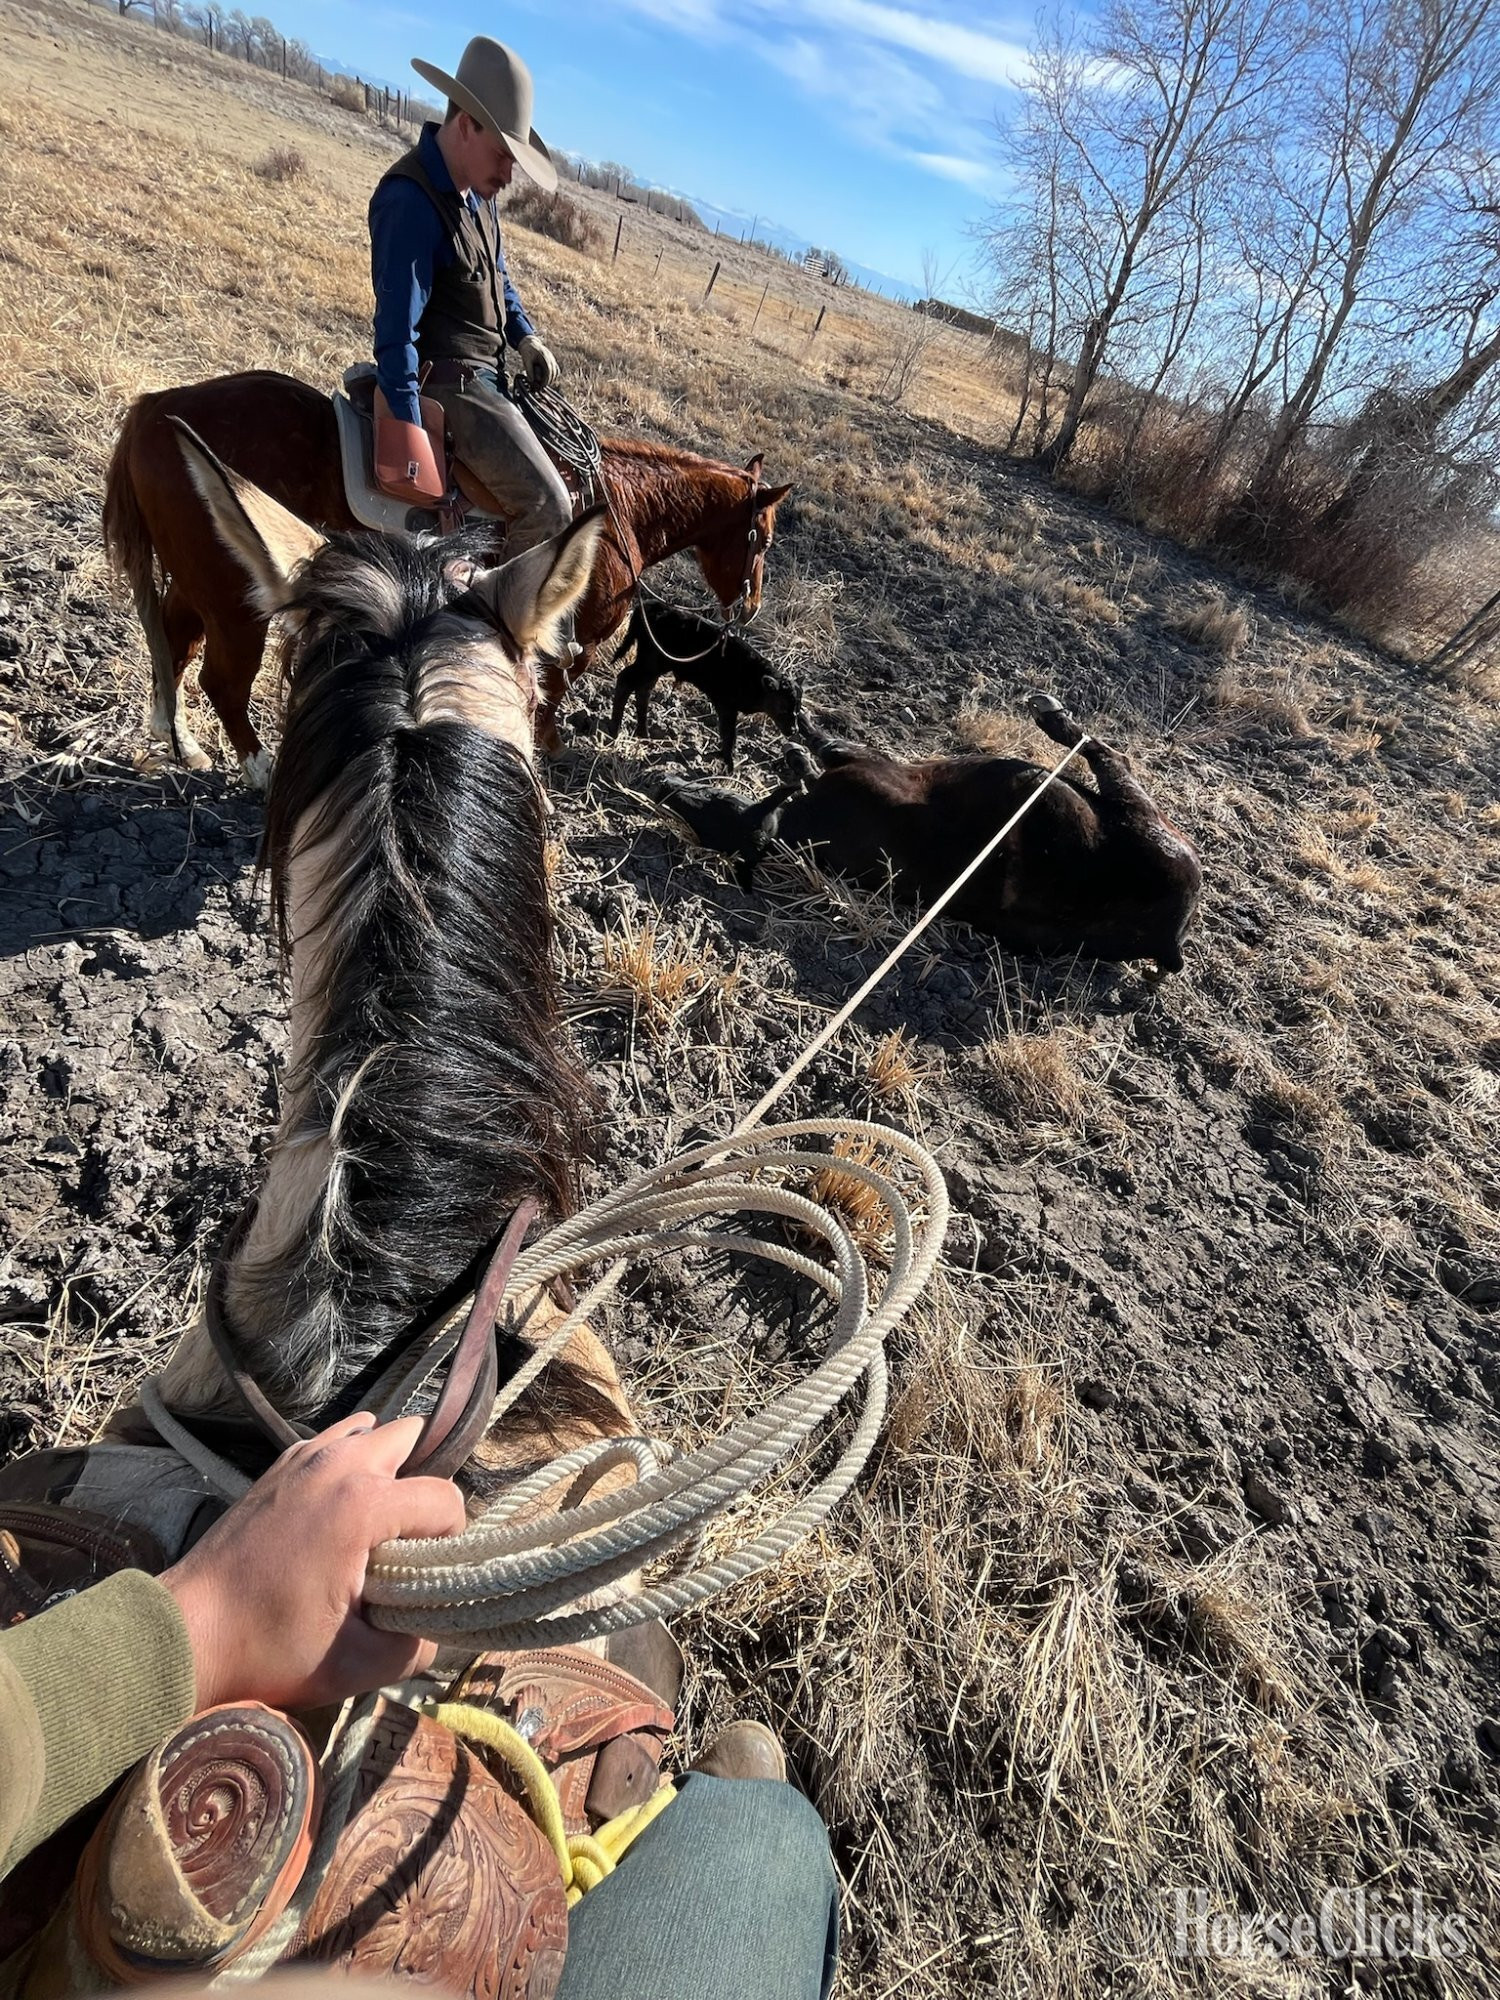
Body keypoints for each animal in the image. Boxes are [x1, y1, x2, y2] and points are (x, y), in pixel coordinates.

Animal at [102, 371, 793, 783]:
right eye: (760, 538)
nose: (751, 607)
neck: (614, 509)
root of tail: (156, 410)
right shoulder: (573, 634)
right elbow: (555, 686)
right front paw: (546, 744)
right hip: (233, 600)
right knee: (221, 679)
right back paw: (260, 770)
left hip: (197, 586)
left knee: (173, 644)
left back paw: (178, 739)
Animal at [655, 694, 1204, 972]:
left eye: (713, 800)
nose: (662, 786)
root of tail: (1169, 934)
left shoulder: (863, 763)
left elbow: (817, 737)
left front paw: (794, 732)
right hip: (1137, 816)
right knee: (1108, 757)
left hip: (1140, 816)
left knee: (1109, 754)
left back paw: (1051, 716)